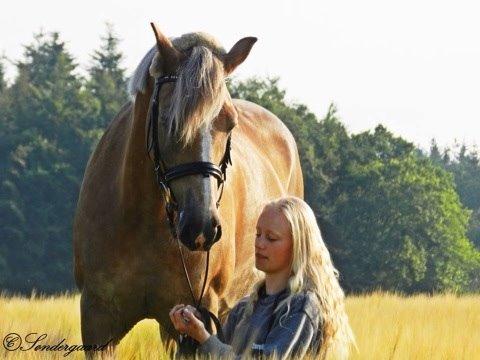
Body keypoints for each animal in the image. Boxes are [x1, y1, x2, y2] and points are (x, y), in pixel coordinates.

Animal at [72, 24, 302, 358]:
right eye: (169, 120)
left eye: (230, 122)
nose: (201, 227)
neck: (144, 221)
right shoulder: (98, 321)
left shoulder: (197, 322)